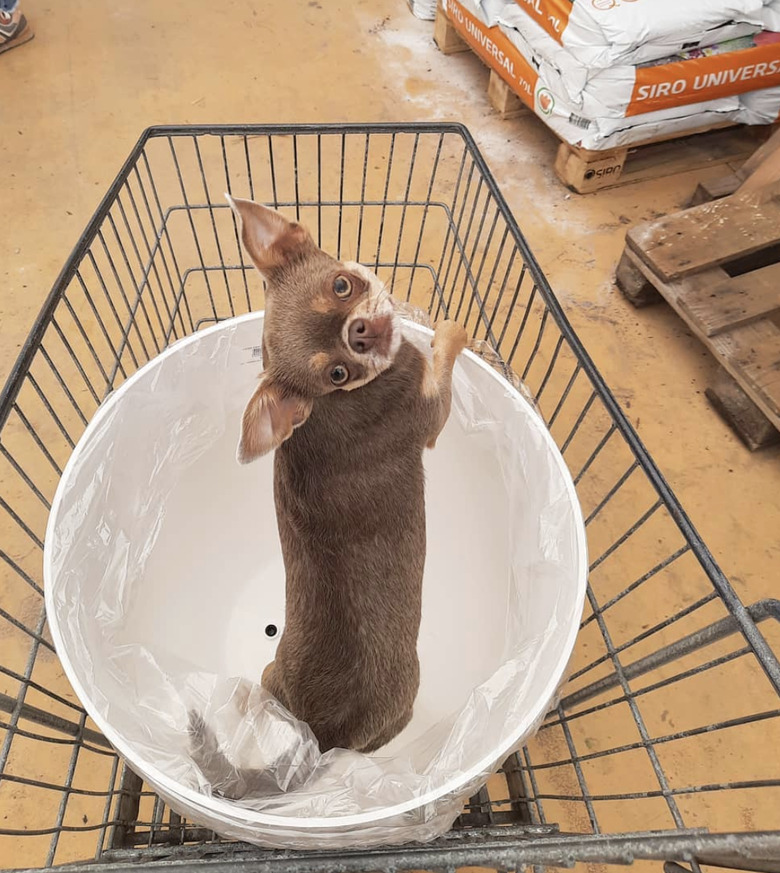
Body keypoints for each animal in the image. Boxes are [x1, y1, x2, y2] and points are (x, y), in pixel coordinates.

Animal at [212, 198, 464, 756]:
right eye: (336, 375)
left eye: (341, 286)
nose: (361, 333)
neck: (333, 404)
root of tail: (326, 736)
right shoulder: (430, 414)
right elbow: (442, 361)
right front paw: (452, 330)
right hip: (404, 698)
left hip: (270, 675)